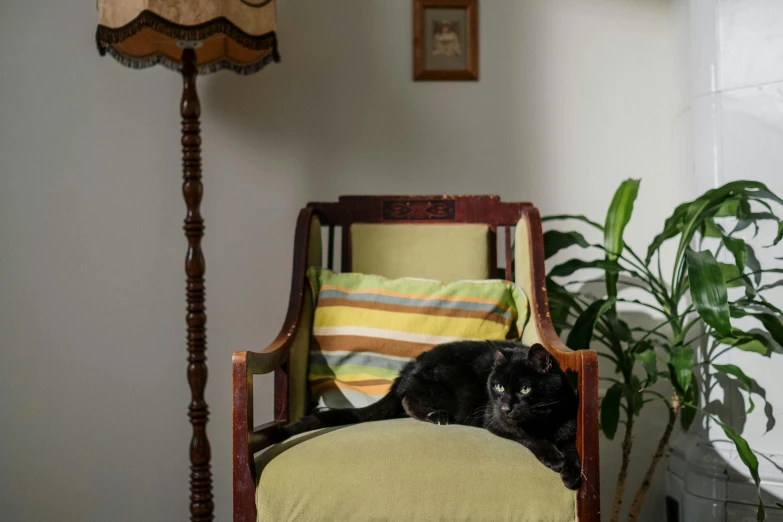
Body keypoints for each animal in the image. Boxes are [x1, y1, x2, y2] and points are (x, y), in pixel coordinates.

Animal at [270, 340, 580, 490]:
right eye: (499, 387)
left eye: (526, 388)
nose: (506, 406)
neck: (545, 418)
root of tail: (408, 367)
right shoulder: (495, 420)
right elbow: (529, 437)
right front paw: (554, 458)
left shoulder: (568, 423)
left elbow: (573, 449)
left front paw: (572, 474)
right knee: (408, 400)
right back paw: (437, 416)